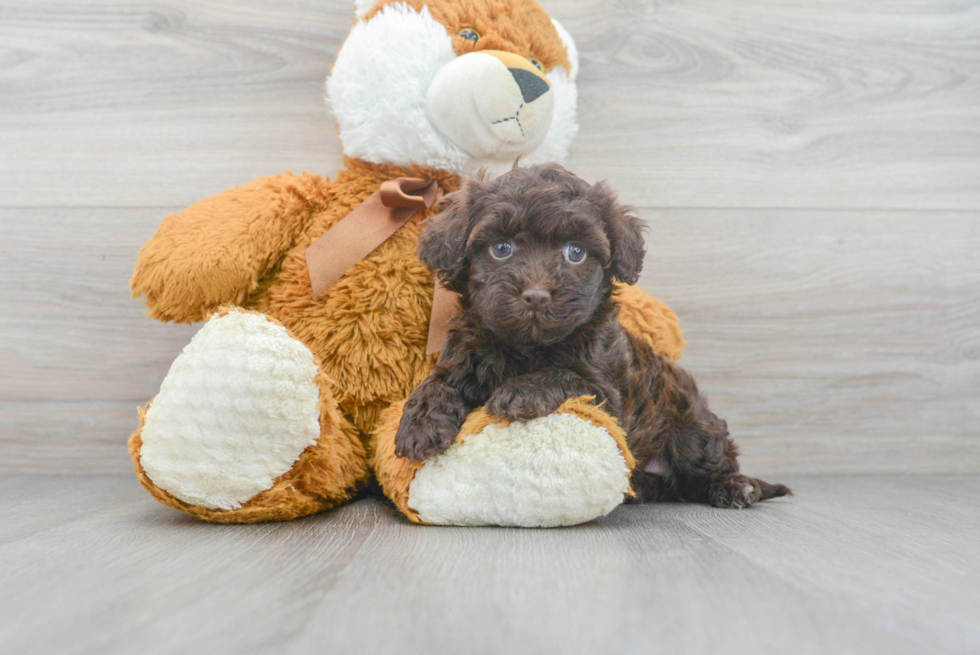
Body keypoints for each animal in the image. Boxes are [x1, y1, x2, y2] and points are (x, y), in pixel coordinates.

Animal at [394, 163, 792, 508]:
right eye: (501, 249)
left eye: (576, 252)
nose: (536, 295)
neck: (527, 347)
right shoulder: (463, 356)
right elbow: (436, 383)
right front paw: (420, 424)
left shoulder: (606, 392)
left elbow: (564, 375)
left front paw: (522, 391)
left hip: (692, 429)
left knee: (710, 466)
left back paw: (738, 487)